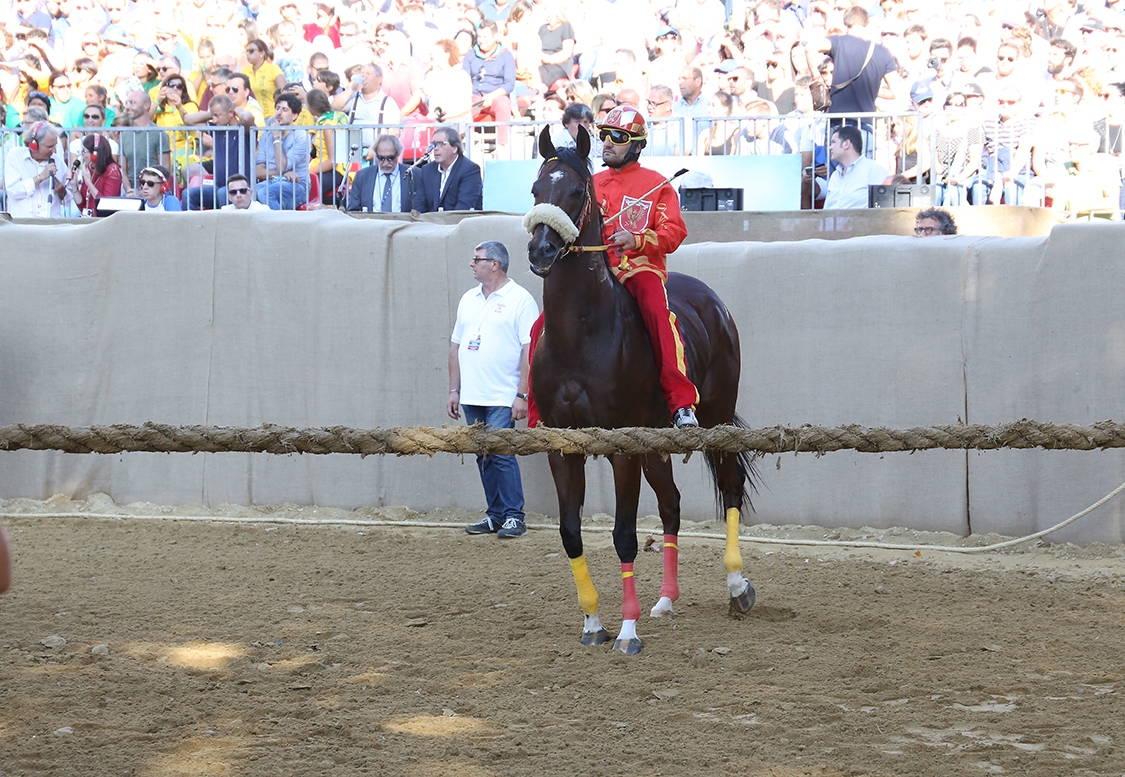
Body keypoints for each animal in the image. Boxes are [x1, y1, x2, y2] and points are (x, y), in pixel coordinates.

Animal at [524, 127, 756, 656]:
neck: (581, 334)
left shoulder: (621, 447)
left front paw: (627, 632)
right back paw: (666, 600)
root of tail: (714, 303)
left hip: (715, 417)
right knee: (671, 503)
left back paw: (737, 586)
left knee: (731, 487)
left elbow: (625, 535)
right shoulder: (562, 446)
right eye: (535, 189)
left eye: (576, 191)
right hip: (655, 440)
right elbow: (571, 533)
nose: (541, 251)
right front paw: (593, 623)